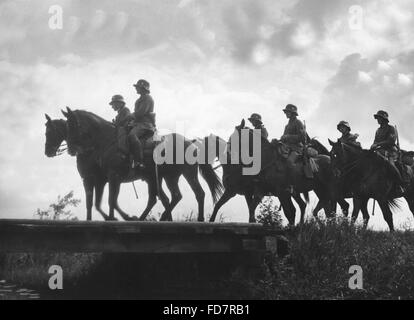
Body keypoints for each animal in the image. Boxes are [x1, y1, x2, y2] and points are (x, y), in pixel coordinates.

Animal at [62, 106, 223, 221]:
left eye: (73, 124)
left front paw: (122, 217)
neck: (106, 140)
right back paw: (156, 217)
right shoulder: (103, 179)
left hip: (187, 173)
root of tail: (191, 142)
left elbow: (111, 200)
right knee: (172, 197)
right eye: (66, 127)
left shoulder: (113, 176)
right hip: (168, 177)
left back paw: (199, 219)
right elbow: (102, 201)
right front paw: (118, 217)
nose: (71, 149)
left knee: (198, 193)